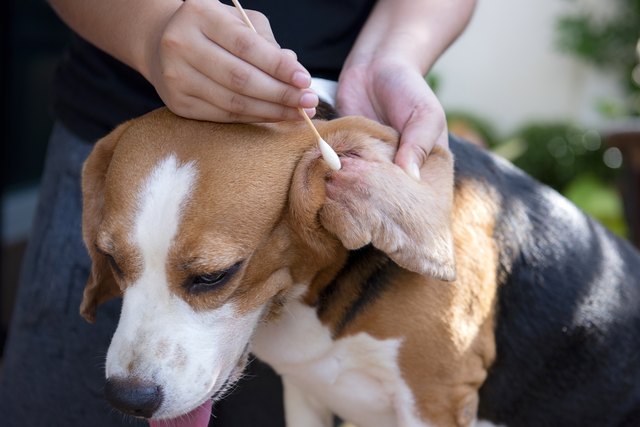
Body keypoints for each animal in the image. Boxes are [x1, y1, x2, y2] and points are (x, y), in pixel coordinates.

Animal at [81, 104, 640, 427]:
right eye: (111, 259)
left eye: (214, 276)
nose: (129, 398)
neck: (313, 303)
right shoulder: (305, 391)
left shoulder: (435, 400)